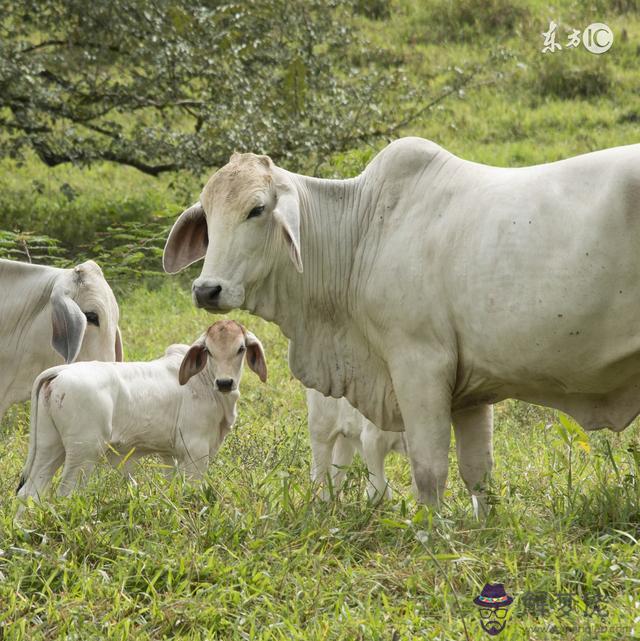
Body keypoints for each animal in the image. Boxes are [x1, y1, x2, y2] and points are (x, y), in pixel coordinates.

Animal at [16, 318, 268, 508]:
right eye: (208, 350)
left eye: (241, 349)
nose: (225, 382)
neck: (205, 380)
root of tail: (60, 371)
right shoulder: (195, 450)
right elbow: (193, 491)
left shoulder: (170, 454)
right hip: (84, 452)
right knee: (65, 494)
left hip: (50, 445)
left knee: (30, 492)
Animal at [161, 139, 640, 510]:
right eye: (207, 213)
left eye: (256, 209)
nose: (207, 289)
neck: (360, 234)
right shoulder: (473, 388)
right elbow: (478, 472)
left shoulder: (420, 365)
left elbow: (428, 469)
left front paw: (433, 537)